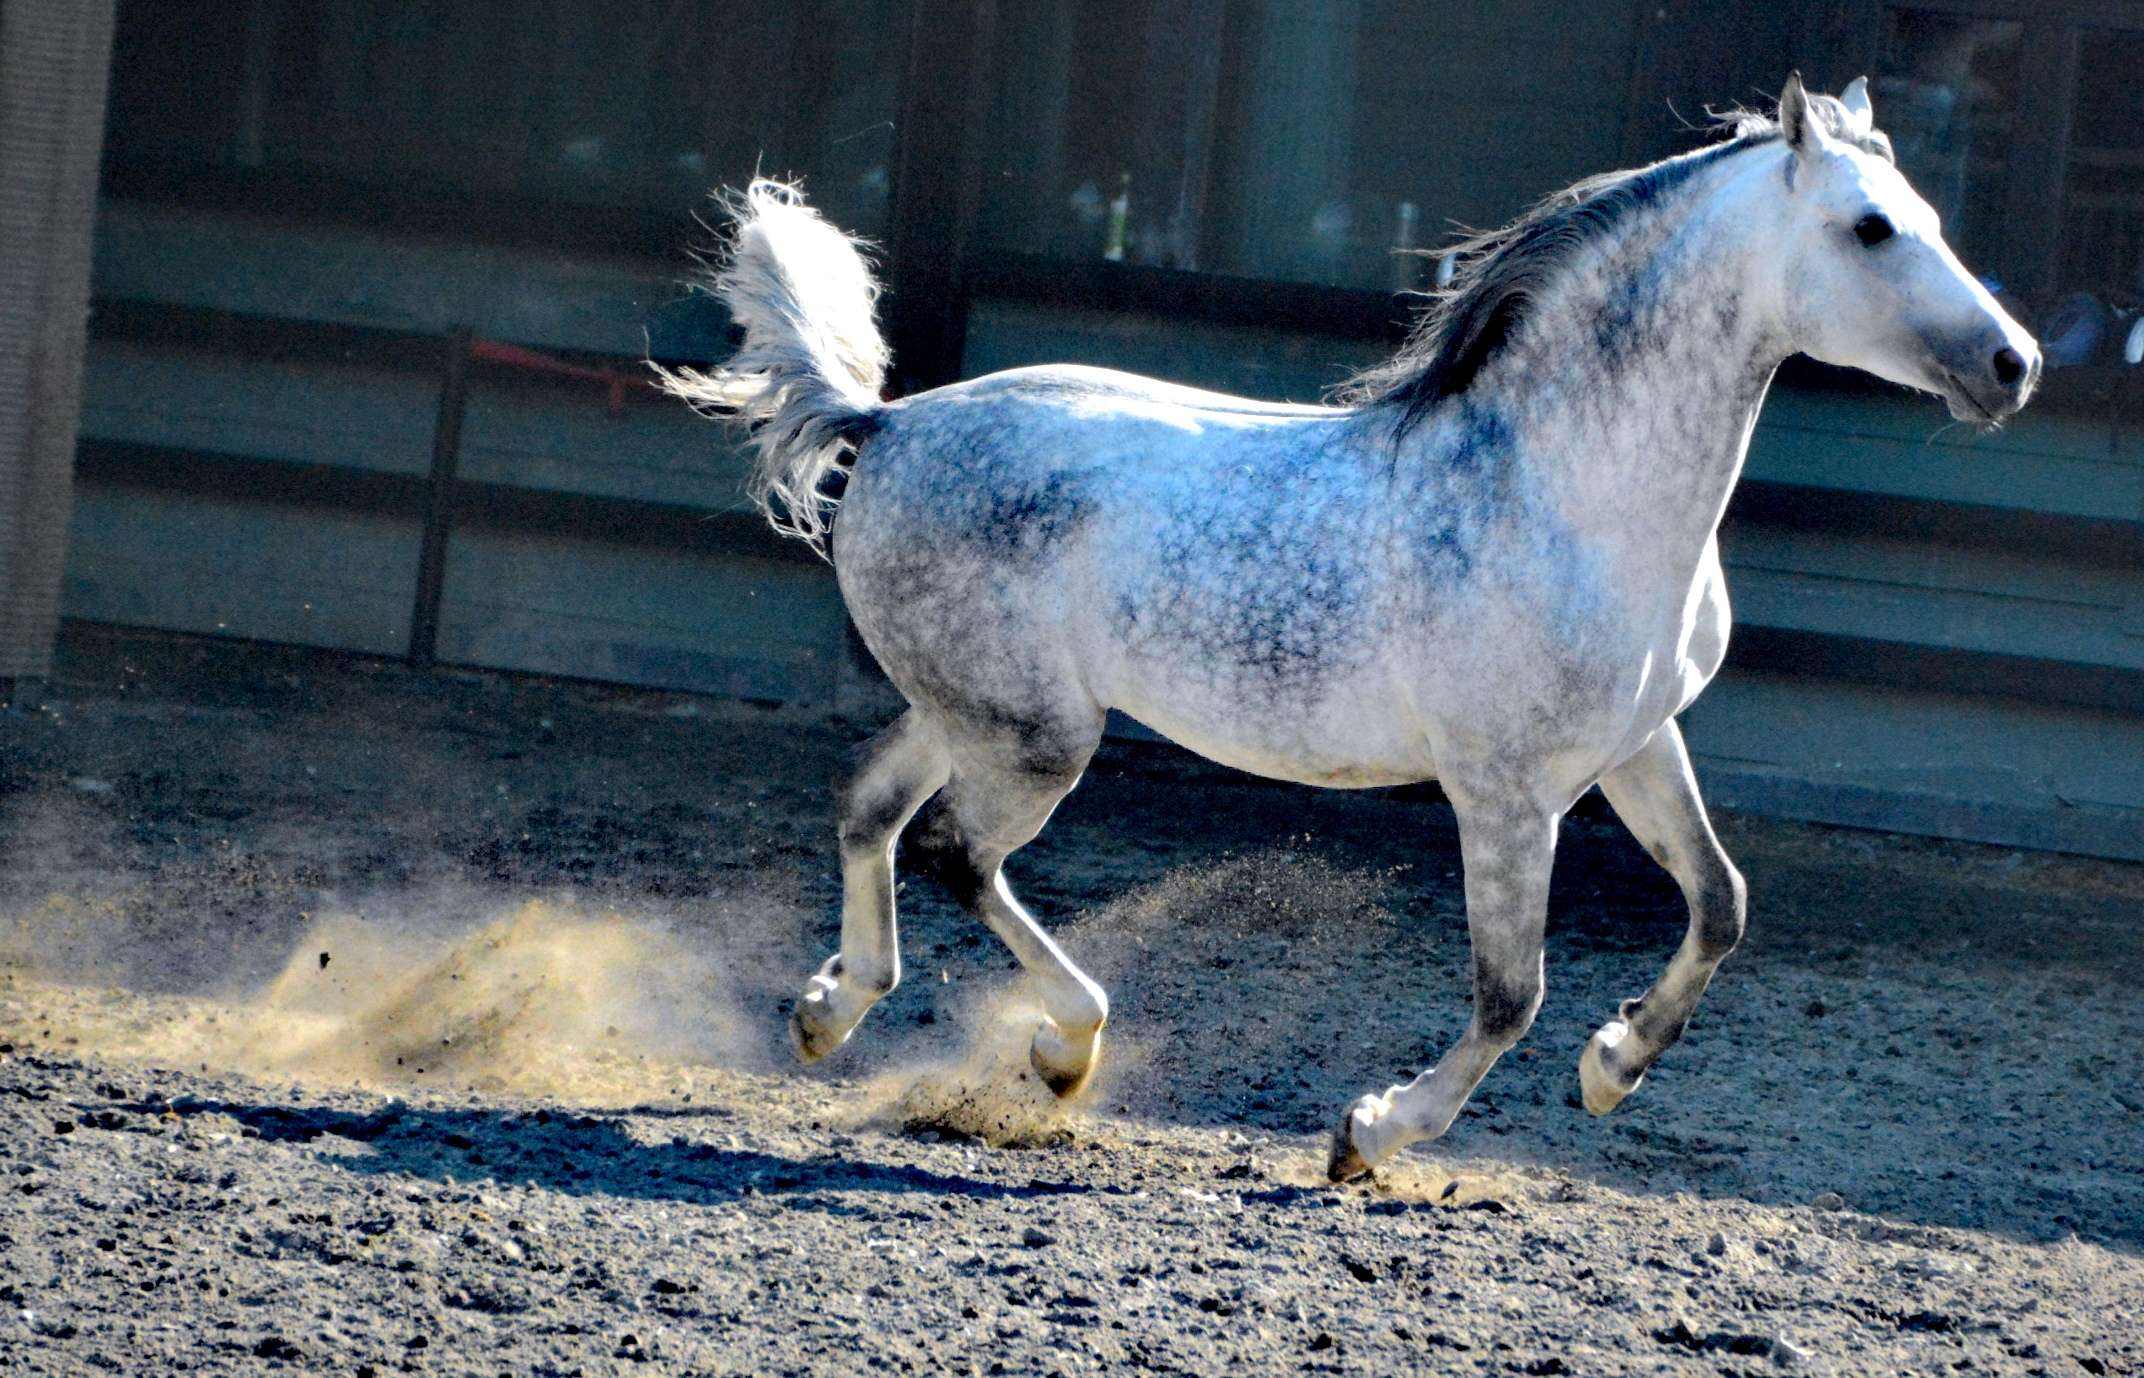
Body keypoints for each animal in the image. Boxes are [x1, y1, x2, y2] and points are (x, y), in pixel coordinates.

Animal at [661, 75, 2039, 1181]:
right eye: (1870, 227)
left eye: (1928, 216)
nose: (2012, 364)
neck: (1564, 488)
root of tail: (886, 422)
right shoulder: (1503, 792)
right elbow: (1509, 991)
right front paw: (1371, 1131)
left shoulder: (1636, 746)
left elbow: (1720, 903)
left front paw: (1611, 1068)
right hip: (1035, 738)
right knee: (957, 853)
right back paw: (1063, 1049)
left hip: (969, 711)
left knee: (871, 810)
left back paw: (830, 1010)